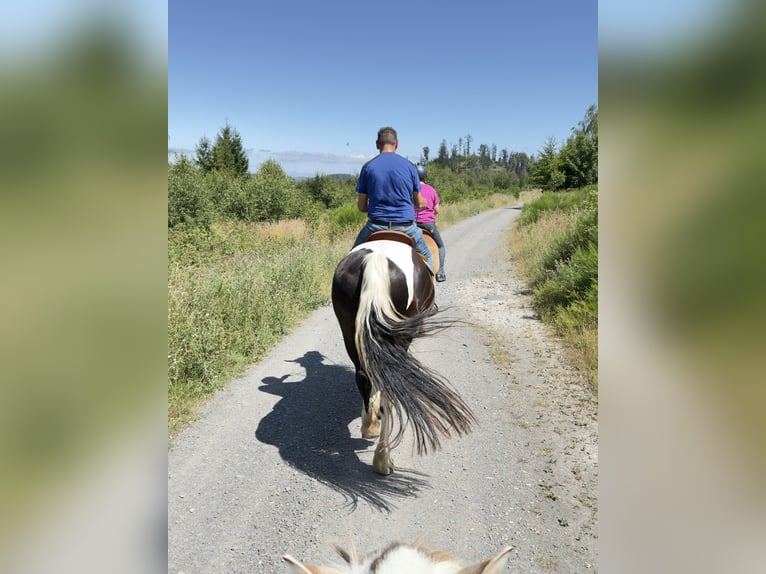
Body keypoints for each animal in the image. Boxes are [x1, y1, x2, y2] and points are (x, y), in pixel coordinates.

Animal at [331, 232, 476, 475]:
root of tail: (376, 259)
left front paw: (370, 417)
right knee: (389, 387)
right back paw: (383, 460)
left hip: (349, 330)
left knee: (364, 376)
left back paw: (370, 427)